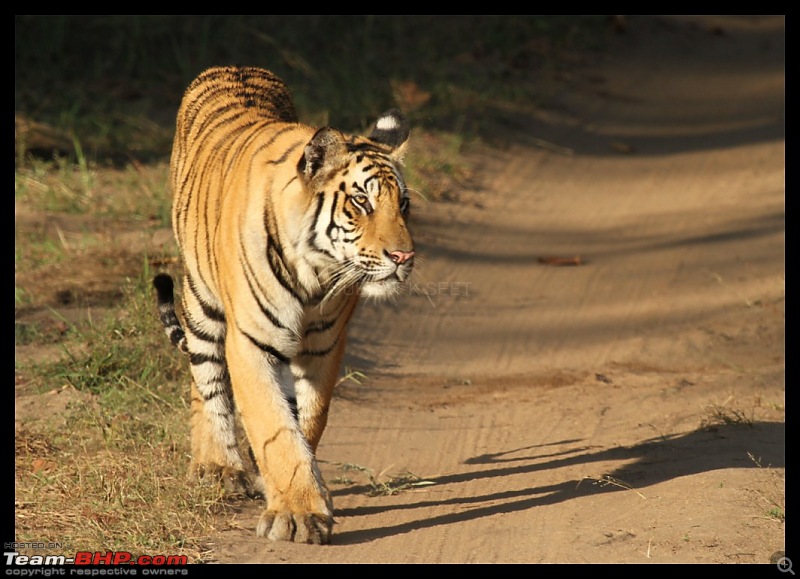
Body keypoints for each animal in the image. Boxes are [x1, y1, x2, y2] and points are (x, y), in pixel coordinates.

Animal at [153, 65, 416, 548]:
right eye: (362, 202)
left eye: (403, 204)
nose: (404, 257)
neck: (315, 274)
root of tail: (232, 66)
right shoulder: (251, 342)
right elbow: (274, 426)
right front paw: (296, 514)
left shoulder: (324, 345)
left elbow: (307, 420)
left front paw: (303, 495)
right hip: (201, 298)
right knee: (205, 375)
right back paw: (217, 466)